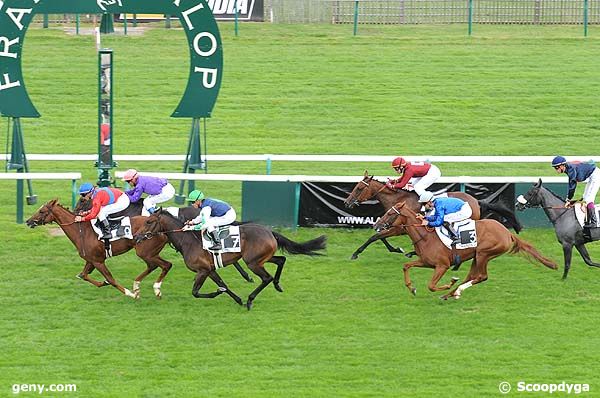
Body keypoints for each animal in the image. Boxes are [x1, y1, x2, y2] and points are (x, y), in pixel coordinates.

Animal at [26, 199, 171, 298]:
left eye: (42, 211)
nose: (28, 221)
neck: (82, 231)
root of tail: (163, 230)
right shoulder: (90, 260)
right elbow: (83, 275)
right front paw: (103, 283)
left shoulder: (98, 261)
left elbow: (111, 279)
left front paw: (130, 294)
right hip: (149, 253)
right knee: (155, 266)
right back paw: (140, 286)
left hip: (145, 252)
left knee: (165, 265)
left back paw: (153, 289)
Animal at [135, 210, 326, 310]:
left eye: (149, 222)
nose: (136, 236)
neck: (188, 241)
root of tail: (269, 231)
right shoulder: (210, 270)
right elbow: (224, 286)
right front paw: (236, 299)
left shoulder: (203, 270)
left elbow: (196, 292)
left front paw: (218, 294)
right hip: (262, 258)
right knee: (281, 259)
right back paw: (277, 285)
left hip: (252, 262)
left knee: (266, 277)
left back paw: (250, 300)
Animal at [344, 172, 524, 260]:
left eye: (359, 188)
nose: (347, 202)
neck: (398, 199)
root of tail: (476, 200)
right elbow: (380, 236)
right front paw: (398, 249)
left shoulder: (400, 228)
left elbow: (375, 237)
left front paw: (355, 253)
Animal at [376, 202, 556, 298]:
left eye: (390, 213)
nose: (376, 225)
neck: (425, 237)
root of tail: (507, 232)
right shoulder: (425, 262)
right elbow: (406, 266)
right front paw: (411, 288)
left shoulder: (442, 266)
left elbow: (431, 286)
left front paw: (448, 284)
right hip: (477, 256)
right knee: (472, 276)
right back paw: (452, 293)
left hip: (484, 253)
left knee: (481, 276)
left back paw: (454, 291)